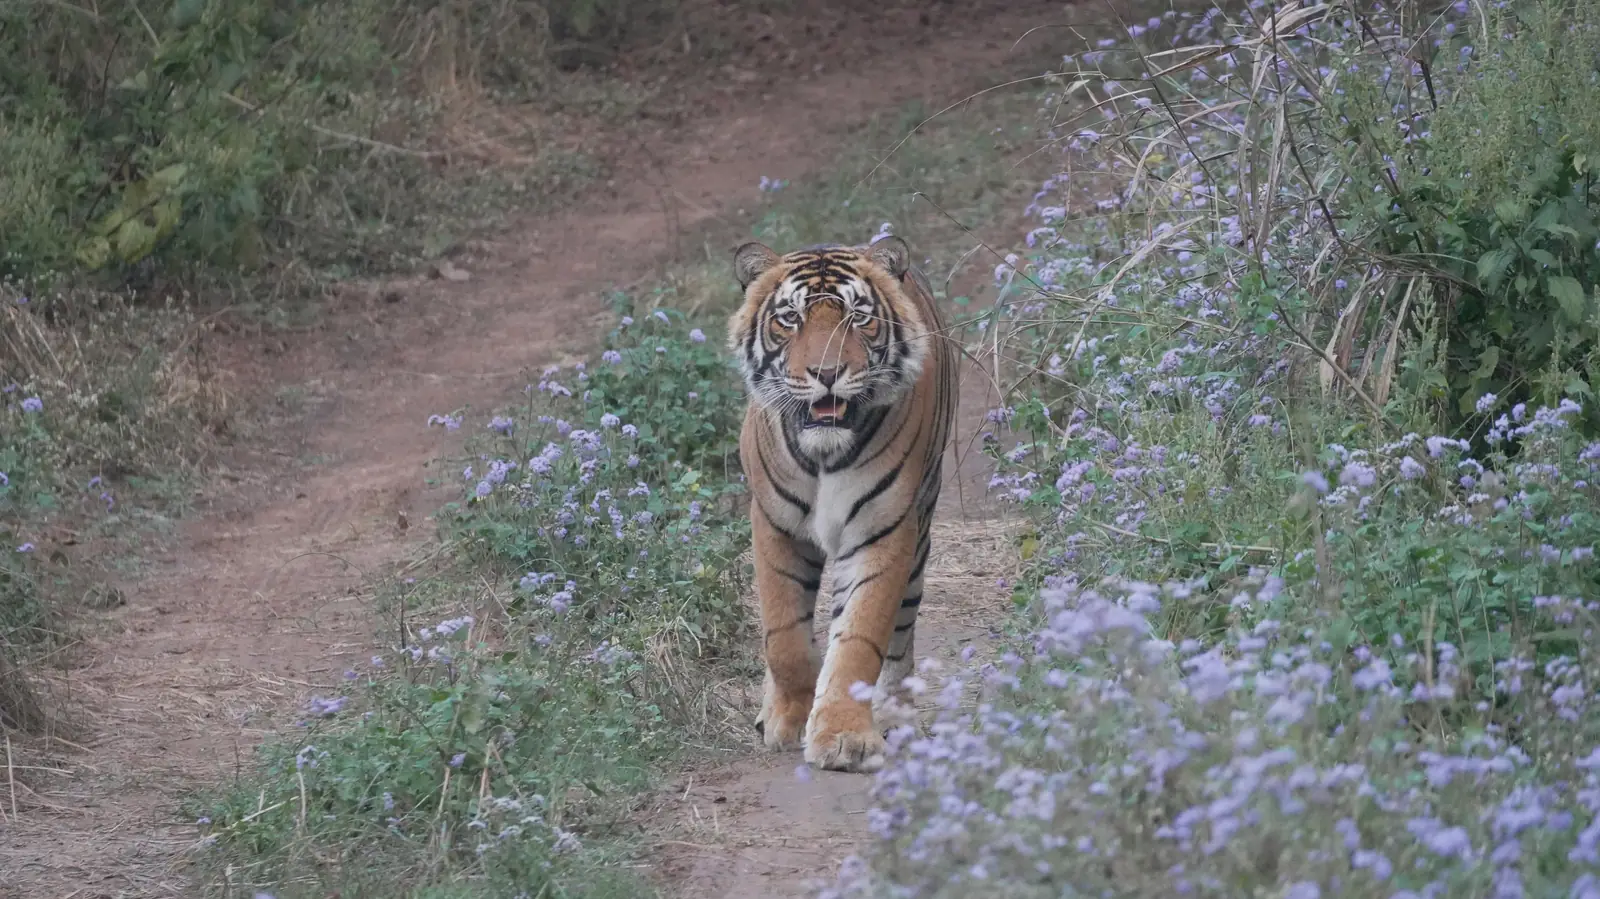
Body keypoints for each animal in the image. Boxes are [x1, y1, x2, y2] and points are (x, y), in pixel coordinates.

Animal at [727, 235, 957, 773]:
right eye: (790, 318)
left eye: (858, 316)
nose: (827, 373)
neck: (824, 454)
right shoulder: (774, 526)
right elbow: (783, 635)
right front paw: (789, 718)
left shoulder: (884, 531)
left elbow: (859, 639)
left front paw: (844, 737)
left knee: (898, 637)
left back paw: (891, 717)